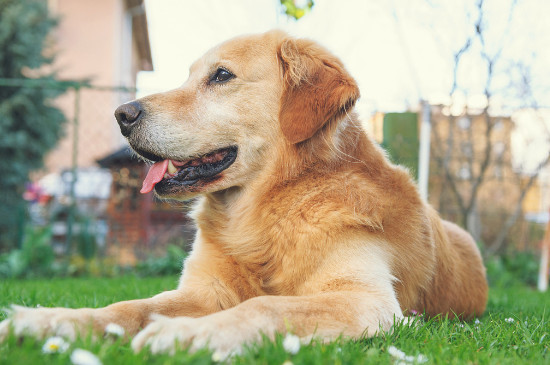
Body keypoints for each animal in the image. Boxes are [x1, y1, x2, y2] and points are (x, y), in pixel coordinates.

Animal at [1, 30, 492, 356]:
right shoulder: (204, 293)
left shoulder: (365, 300)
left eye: (221, 75)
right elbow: (128, 307)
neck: (266, 212)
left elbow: (265, 306)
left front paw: (185, 335)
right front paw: (52, 320)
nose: (123, 114)